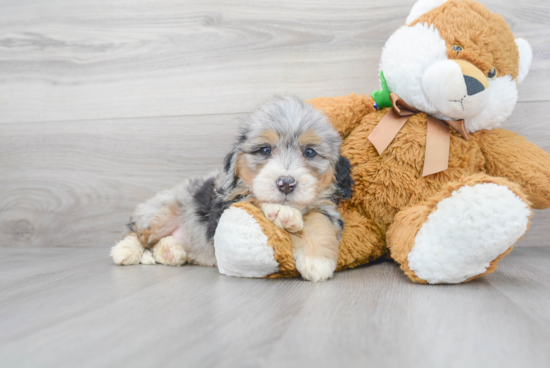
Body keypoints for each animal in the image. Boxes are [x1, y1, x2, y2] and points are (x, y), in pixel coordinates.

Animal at [111, 95, 354, 282]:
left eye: (310, 152)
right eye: (265, 150)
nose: (286, 183)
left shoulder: (325, 207)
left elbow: (318, 222)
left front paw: (317, 261)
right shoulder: (228, 204)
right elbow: (253, 198)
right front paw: (282, 211)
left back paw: (171, 251)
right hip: (164, 211)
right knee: (139, 233)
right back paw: (126, 250)